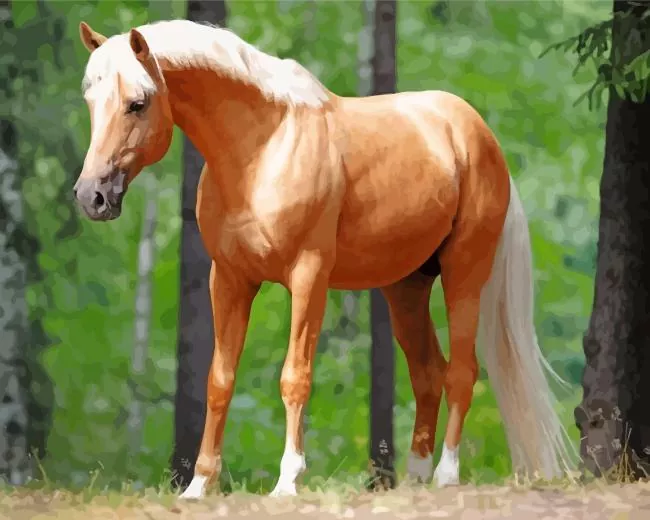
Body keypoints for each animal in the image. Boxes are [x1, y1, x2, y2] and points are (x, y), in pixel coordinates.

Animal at [73, 19, 575, 499]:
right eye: (90, 100)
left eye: (137, 103)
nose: (91, 196)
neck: (261, 151)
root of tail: (479, 135)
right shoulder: (230, 279)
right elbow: (220, 379)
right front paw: (199, 485)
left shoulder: (308, 275)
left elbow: (295, 376)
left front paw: (287, 480)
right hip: (406, 287)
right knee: (427, 373)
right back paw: (415, 477)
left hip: (463, 274)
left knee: (461, 373)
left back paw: (446, 474)